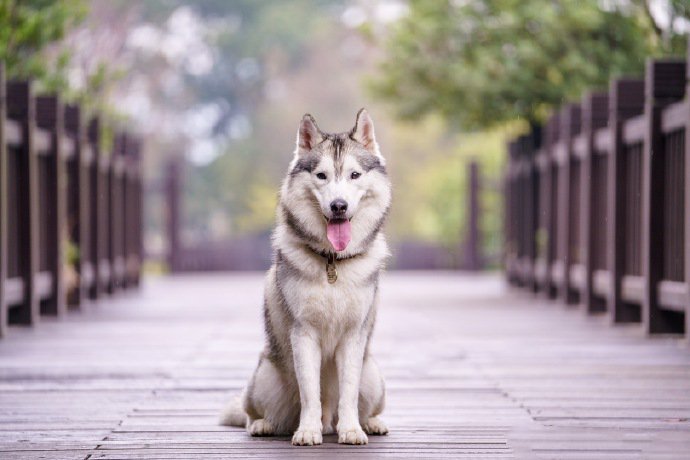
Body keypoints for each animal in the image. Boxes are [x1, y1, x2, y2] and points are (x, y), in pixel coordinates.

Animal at [220, 108, 392, 446]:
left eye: (354, 175)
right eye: (321, 176)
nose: (338, 206)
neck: (333, 263)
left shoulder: (353, 337)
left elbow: (348, 392)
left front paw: (352, 430)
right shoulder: (303, 333)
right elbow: (310, 391)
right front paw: (308, 431)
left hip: (373, 377)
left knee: (362, 405)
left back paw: (370, 423)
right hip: (265, 377)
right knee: (252, 413)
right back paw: (264, 425)